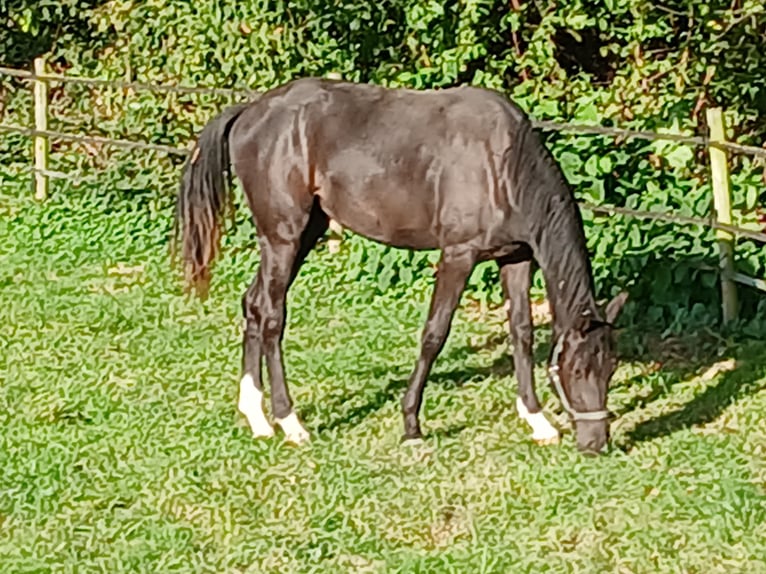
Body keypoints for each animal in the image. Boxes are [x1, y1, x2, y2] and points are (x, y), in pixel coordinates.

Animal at [174, 78, 627, 454]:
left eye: (610, 367)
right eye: (577, 369)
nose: (595, 444)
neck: (503, 164)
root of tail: (250, 112)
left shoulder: (514, 257)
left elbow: (523, 333)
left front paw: (538, 421)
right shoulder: (458, 255)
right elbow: (434, 334)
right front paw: (411, 424)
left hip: (302, 234)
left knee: (253, 304)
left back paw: (257, 418)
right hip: (283, 237)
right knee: (271, 316)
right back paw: (290, 422)